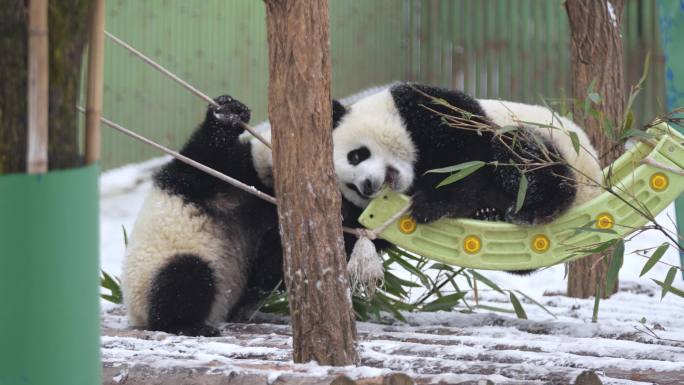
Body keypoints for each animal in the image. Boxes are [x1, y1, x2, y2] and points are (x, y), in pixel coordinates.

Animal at [120, 82, 600, 334]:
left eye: (355, 156)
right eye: (352, 183)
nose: (368, 185)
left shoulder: (430, 113)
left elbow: (473, 157)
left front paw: (436, 201)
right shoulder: (242, 180)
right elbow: (202, 167)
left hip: (556, 153)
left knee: (527, 160)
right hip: (165, 260)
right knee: (183, 279)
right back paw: (190, 322)